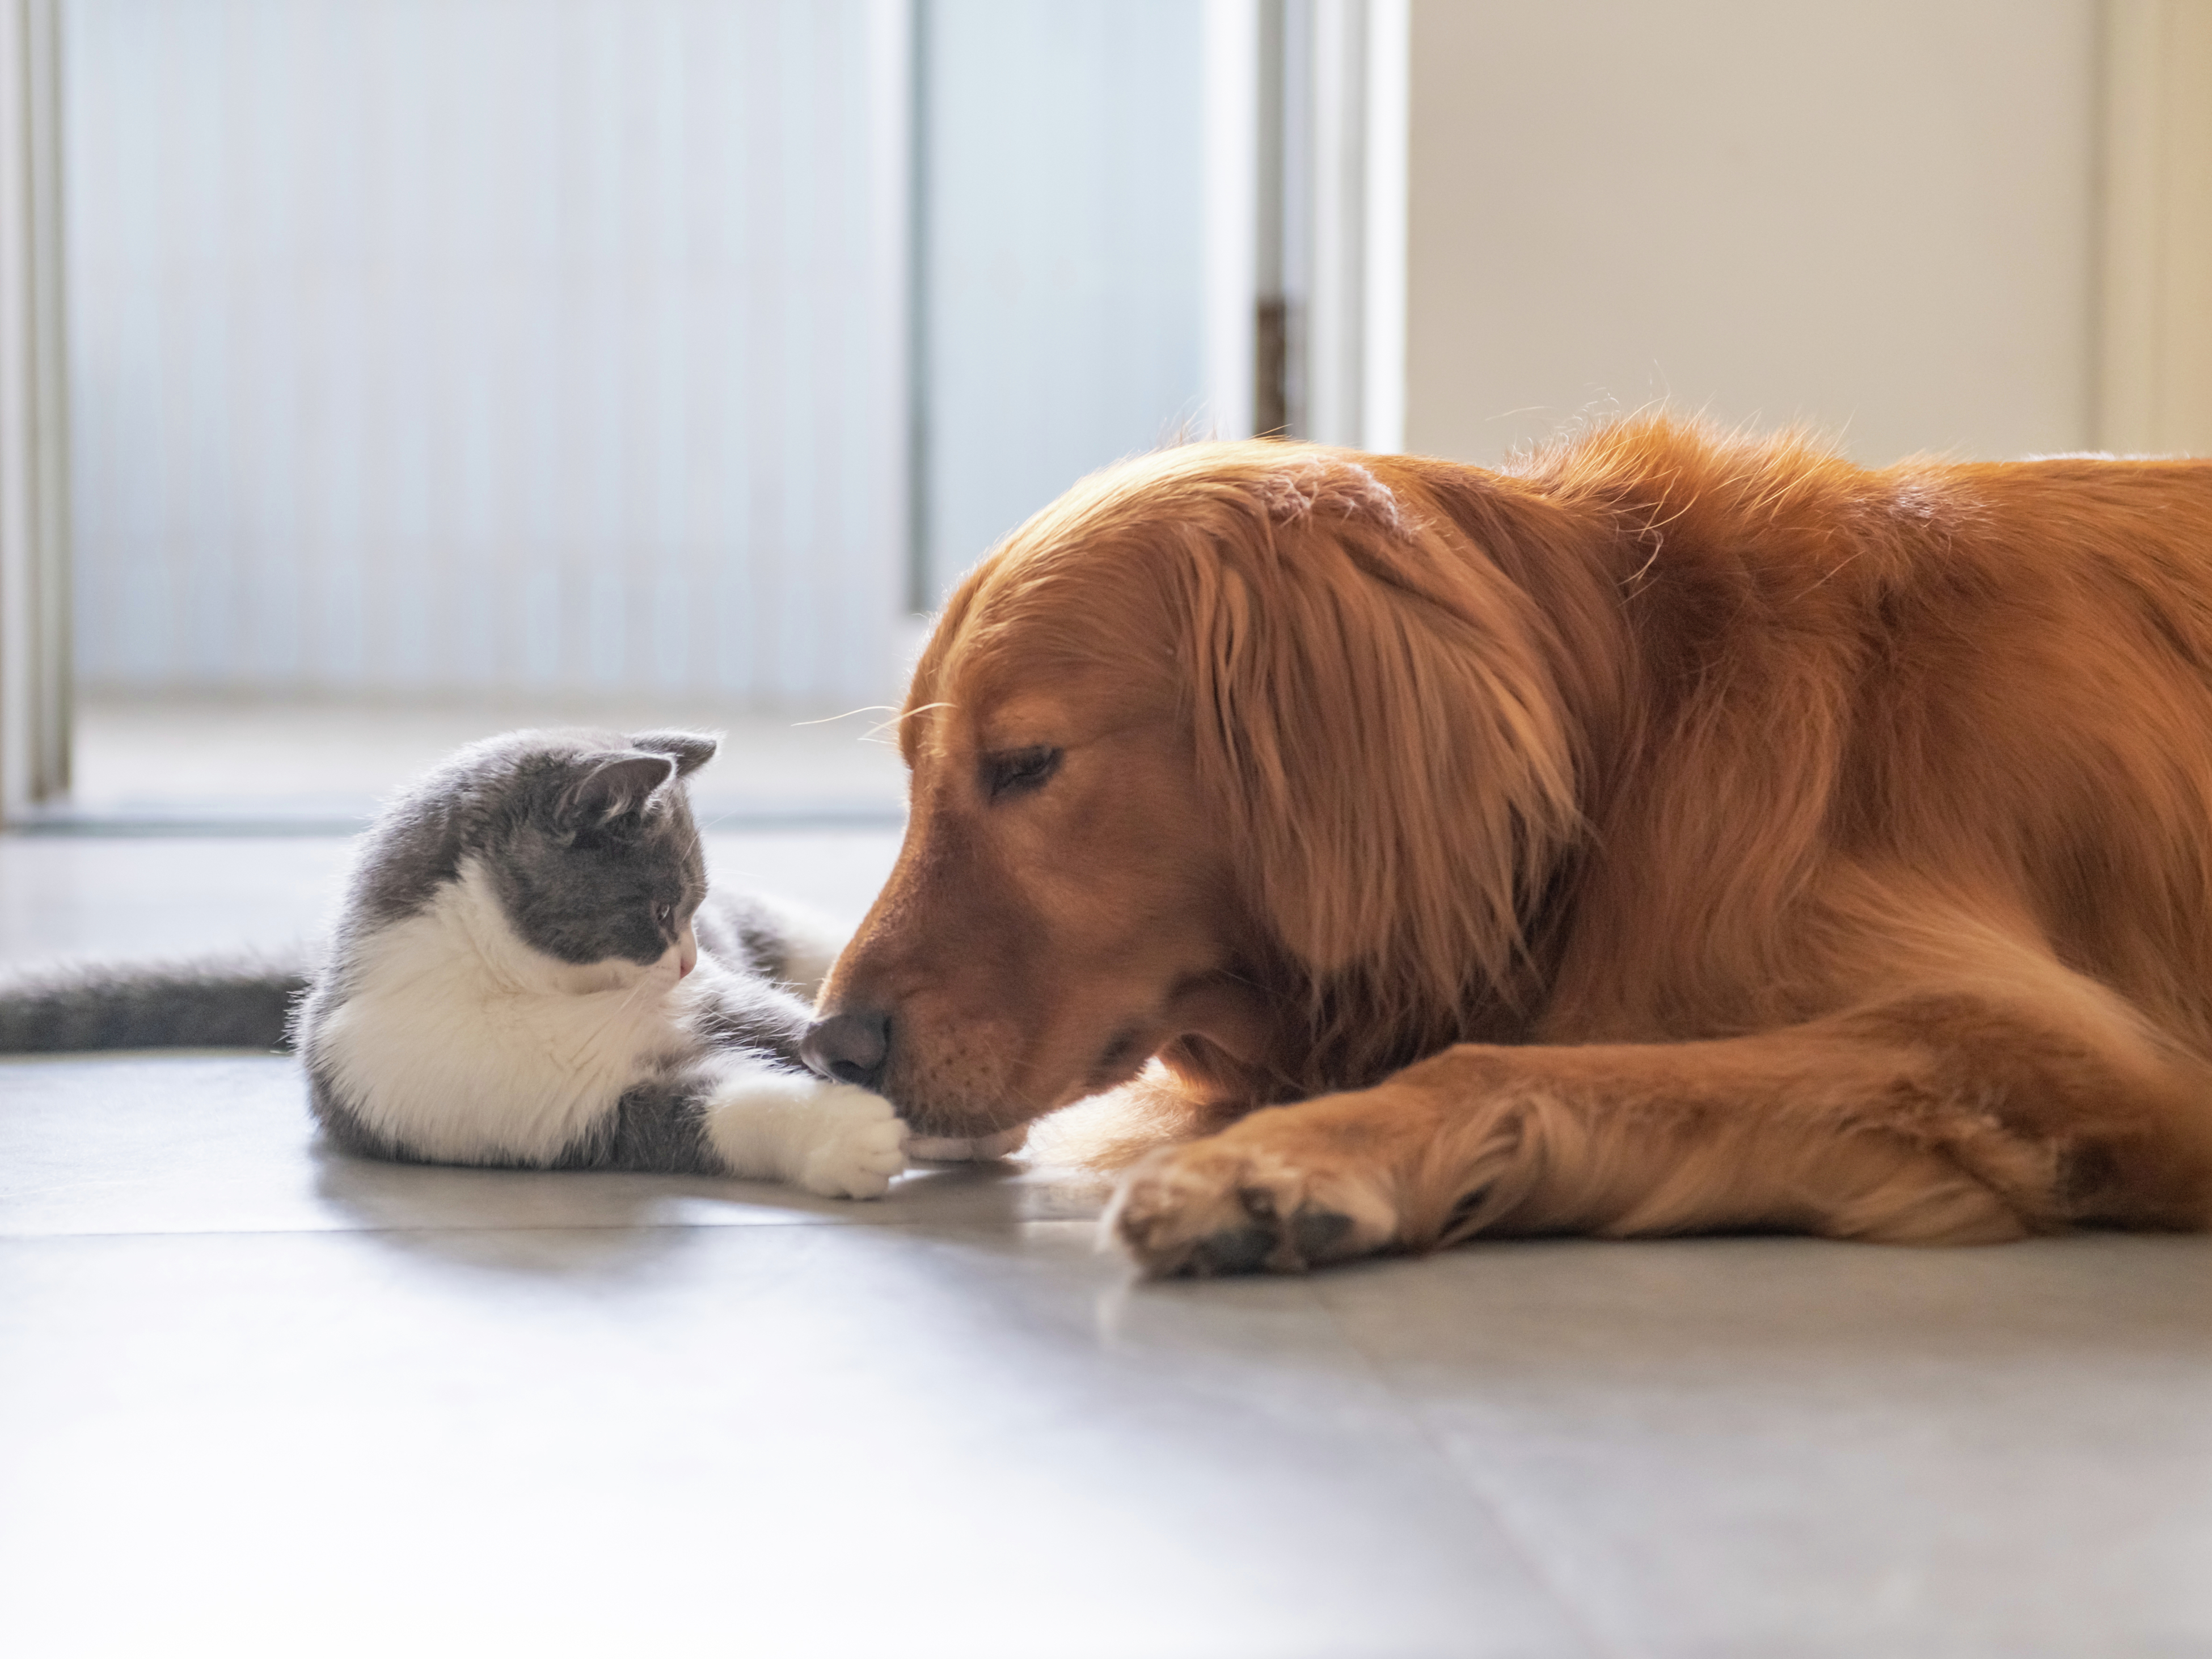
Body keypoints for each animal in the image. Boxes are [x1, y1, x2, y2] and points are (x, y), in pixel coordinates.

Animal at [0, 725, 907, 1194]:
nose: (684, 958)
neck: (526, 993)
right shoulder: (528, 1111)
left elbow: (783, 1024)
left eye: (693, 907)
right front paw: (849, 1138)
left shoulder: (718, 997)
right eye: (659, 911)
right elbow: (692, 1114)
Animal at [805, 422, 2212, 1283]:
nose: (833, 1048)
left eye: (1027, 764)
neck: (1635, 738)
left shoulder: (2051, 1044)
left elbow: (1538, 1063)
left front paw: (1282, 1164)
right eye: (917, 775)